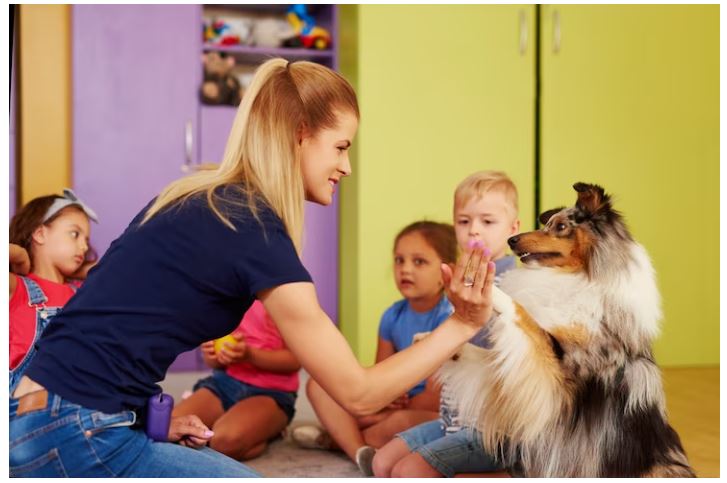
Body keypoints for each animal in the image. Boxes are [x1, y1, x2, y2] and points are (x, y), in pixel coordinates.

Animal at [438, 183, 692, 478]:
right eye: (547, 223)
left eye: (560, 226)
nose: (512, 240)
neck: (578, 277)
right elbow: (483, 358)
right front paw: (435, 342)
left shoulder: (560, 368)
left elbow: (521, 312)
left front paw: (488, 289)